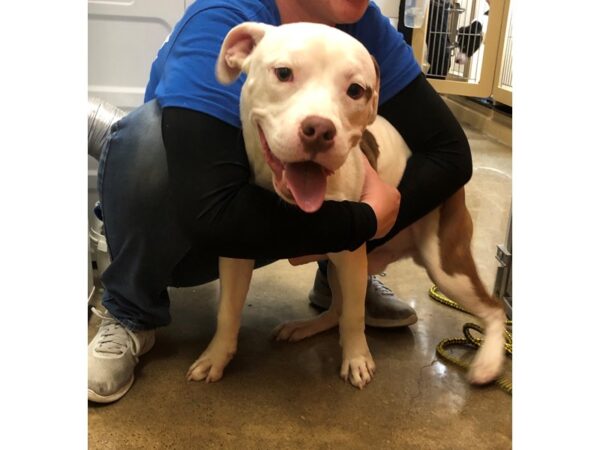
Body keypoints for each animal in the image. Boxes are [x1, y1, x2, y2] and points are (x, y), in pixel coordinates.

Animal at [186, 21, 506, 388]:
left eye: (355, 90)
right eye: (283, 73)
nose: (319, 129)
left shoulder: (352, 254)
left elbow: (354, 315)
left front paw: (357, 359)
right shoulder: (236, 247)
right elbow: (227, 310)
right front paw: (215, 356)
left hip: (446, 265)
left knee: (494, 308)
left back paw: (488, 361)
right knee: (335, 309)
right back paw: (305, 327)